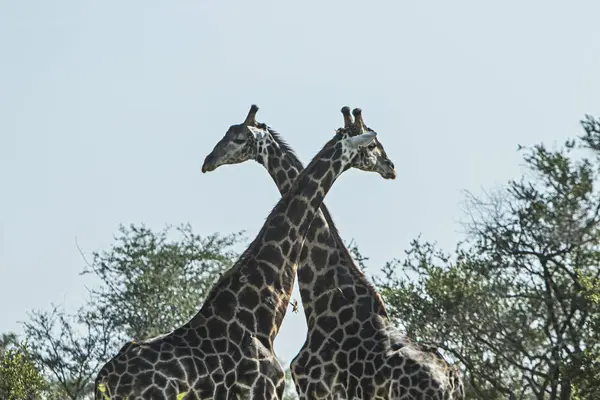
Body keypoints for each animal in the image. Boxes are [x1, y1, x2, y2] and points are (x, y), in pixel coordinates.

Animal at [91, 117, 386, 398]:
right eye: (371, 146)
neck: (258, 313)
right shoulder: (265, 389)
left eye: (237, 138)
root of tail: (103, 380)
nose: (390, 167)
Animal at [202, 104, 464, 398]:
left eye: (238, 139)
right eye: (373, 144)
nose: (391, 167)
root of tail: (452, 381)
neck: (325, 299)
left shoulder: (315, 385)